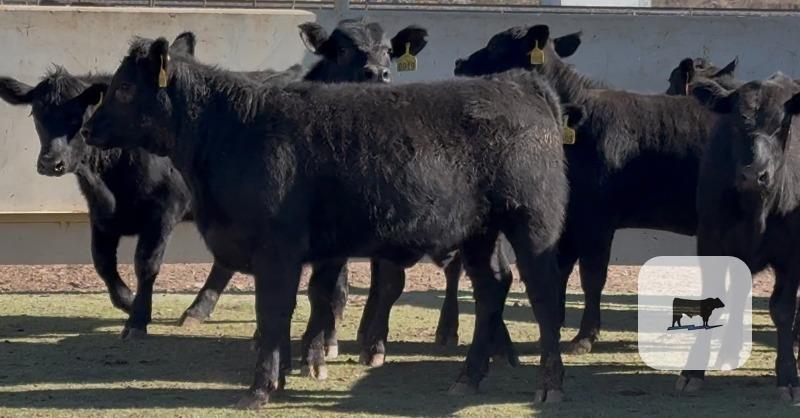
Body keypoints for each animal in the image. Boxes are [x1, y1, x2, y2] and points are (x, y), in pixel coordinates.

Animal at [81, 36, 570, 406]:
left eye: (124, 89)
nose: (86, 129)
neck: (233, 129)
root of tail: (517, 83)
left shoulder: (277, 249)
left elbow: (274, 311)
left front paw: (260, 389)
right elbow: (286, 314)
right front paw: (279, 378)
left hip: (533, 222)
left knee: (545, 294)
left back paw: (549, 385)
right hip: (480, 232)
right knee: (492, 288)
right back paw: (468, 377)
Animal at [454, 25, 725, 359]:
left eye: (495, 46)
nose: (460, 62)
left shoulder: (597, 219)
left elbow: (592, 278)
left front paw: (584, 337)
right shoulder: (569, 219)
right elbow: (559, 271)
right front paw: (553, 327)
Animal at [688, 73, 800, 402]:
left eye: (783, 125)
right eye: (737, 123)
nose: (753, 175)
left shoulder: (793, 252)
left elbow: (782, 309)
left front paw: (788, 376)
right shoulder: (711, 242)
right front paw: (693, 372)